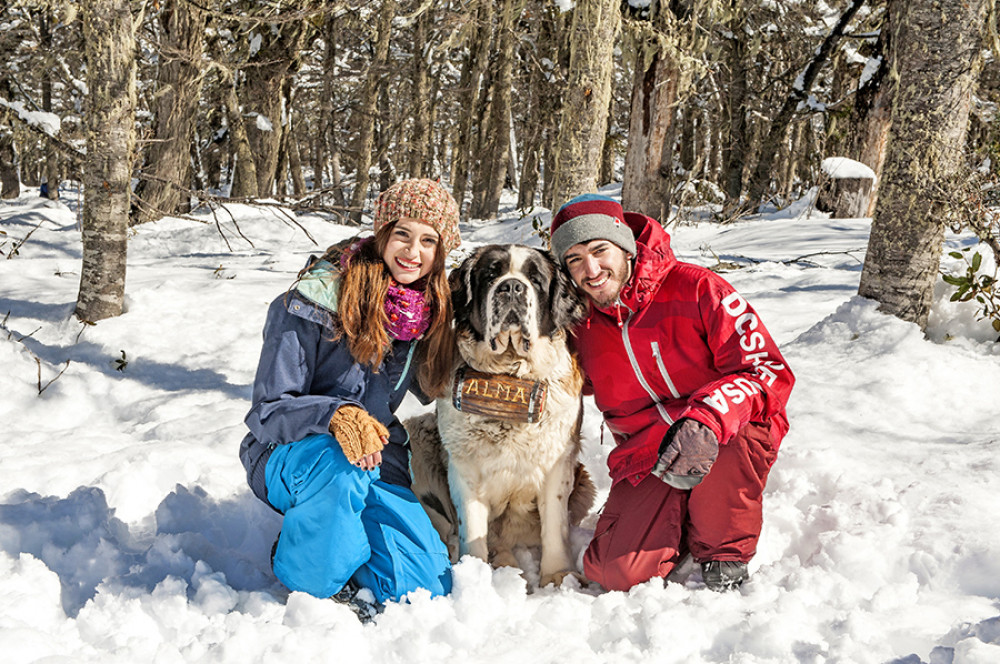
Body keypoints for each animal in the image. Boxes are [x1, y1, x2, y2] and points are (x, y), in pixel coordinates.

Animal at [406, 244, 592, 588]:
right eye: (491, 275)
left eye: (535, 279)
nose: (513, 287)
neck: (509, 374)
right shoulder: (463, 467)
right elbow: (471, 527)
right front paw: (474, 576)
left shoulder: (558, 461)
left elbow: (554, 523)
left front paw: (558, 575)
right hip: (417, 437)